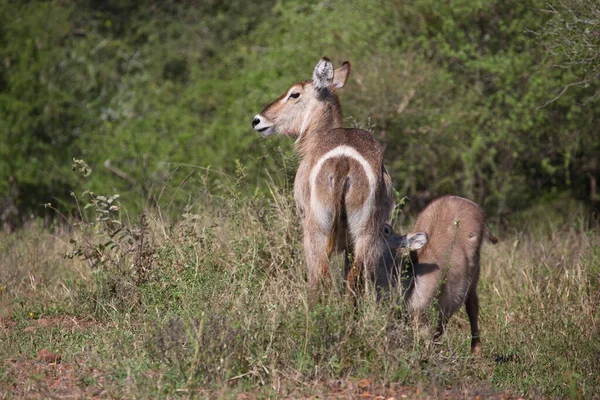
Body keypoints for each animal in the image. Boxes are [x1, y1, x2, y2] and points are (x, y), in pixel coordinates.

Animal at [252, 57, 394, 294]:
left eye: (294, 93)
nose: (257, 120)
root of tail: (344, 161)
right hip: (365, 233)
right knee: (353, 279)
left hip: (315, 230)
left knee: (320, 277)